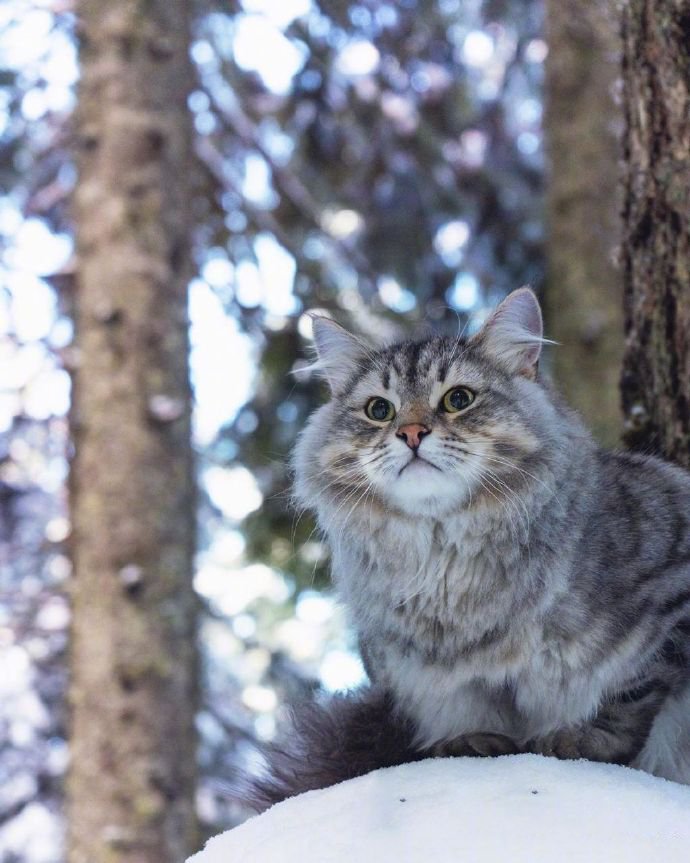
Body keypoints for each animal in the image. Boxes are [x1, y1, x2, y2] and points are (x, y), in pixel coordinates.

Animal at [250, 286, 688, 808]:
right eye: (379, 410)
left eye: (458, 399)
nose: (411, 433)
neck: (445, 561)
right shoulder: (424, 677)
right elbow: (464, 719)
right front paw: (471, 742)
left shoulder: (671, 601)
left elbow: (630, 699)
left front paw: (580, 741)